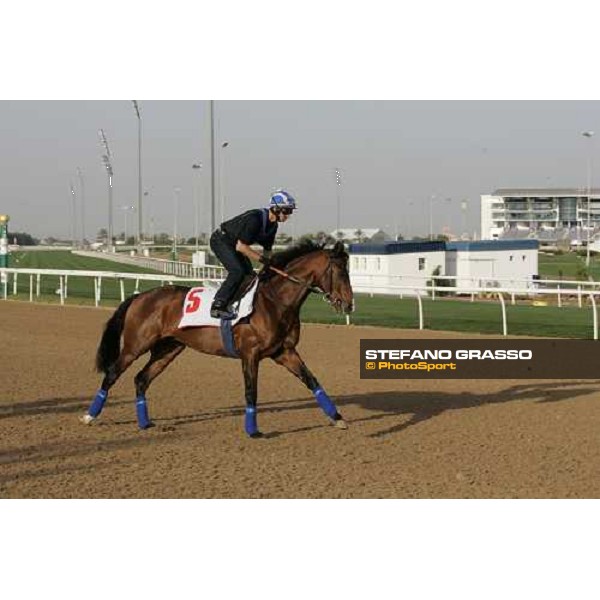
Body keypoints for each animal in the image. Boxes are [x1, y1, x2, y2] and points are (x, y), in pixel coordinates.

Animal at [85, 241, 356, 438]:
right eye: (340, 271)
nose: (349, 303)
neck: (274, 301)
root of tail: (140, 296)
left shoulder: (284, 352)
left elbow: (312, 380)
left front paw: (338, 418)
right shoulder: (250, 354)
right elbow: (251, 391)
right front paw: (253, 430)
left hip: (169, 348)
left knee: (141, 379)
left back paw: (145, 423)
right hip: (136, 345)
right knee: (112, 374)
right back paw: (89, 416)